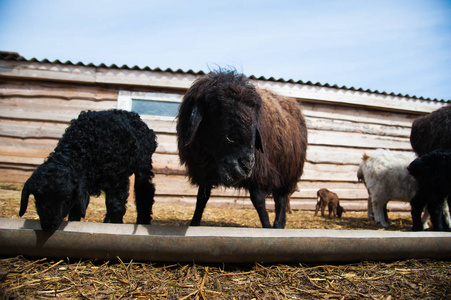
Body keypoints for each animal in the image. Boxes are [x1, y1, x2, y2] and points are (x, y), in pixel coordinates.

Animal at [19, 109, 157, 231]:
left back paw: (142, 220)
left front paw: (115, 225)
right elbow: (77, 207)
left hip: (142, 163)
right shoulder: (83, 185)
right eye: (37, 198)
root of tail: (132, 114)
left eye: (65, 199)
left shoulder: (117, 178)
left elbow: (115, 205)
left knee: (145, 191)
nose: (48, 226)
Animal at [177, 70, 308, 229]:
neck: (213, 160)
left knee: (281, 200)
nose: (245, 164)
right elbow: (201, 199)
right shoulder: (204, 173)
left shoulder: (258, 172)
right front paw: (194, 224)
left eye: (255, 113)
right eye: (216, 108)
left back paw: (278, 225)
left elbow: (258, 201)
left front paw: (267, 227)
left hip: (287, 172)